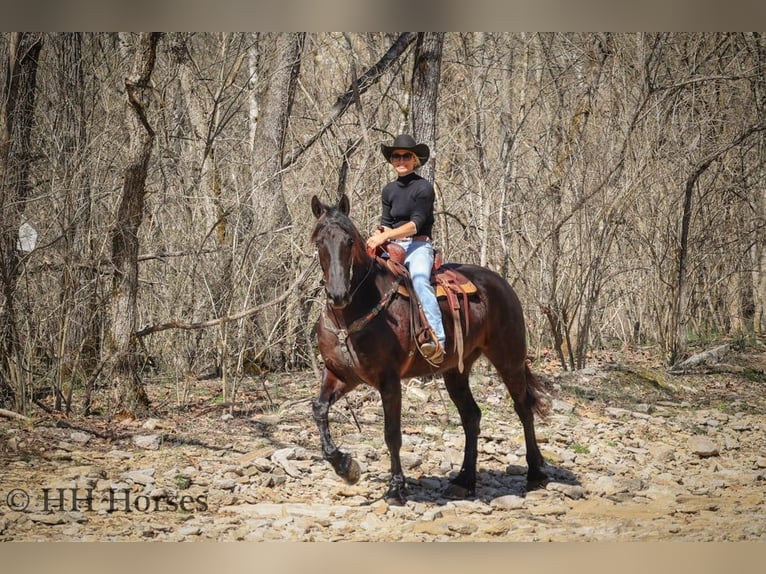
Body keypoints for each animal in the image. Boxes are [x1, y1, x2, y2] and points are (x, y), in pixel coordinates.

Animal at [310, 194, 547, 505]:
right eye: (319, 241)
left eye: (349, 240)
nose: (338, 294)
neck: (350, 315)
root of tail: (502, 284)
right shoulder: (341, 375)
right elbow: (319, 409)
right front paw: (346, 468)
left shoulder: (389, 380)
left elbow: (392, 434)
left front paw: (396, 489)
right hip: (456, 371)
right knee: (471, 417)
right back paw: (465, 480)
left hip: (509, 360)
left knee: (523, 408)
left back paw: (535, 475)